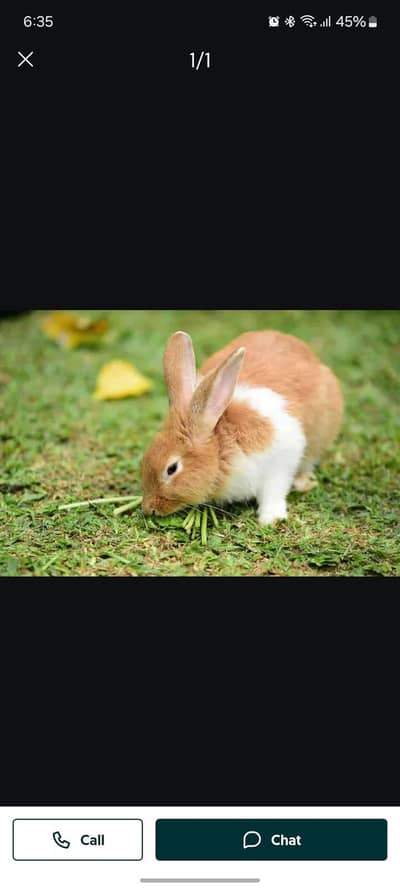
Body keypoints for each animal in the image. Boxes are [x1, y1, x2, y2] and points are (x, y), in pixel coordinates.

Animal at [141, 330, 343, 525]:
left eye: (171, 469)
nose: (149, 509)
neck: (221, 446)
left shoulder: (281, 459)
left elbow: (274, 492)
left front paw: (271, 519)